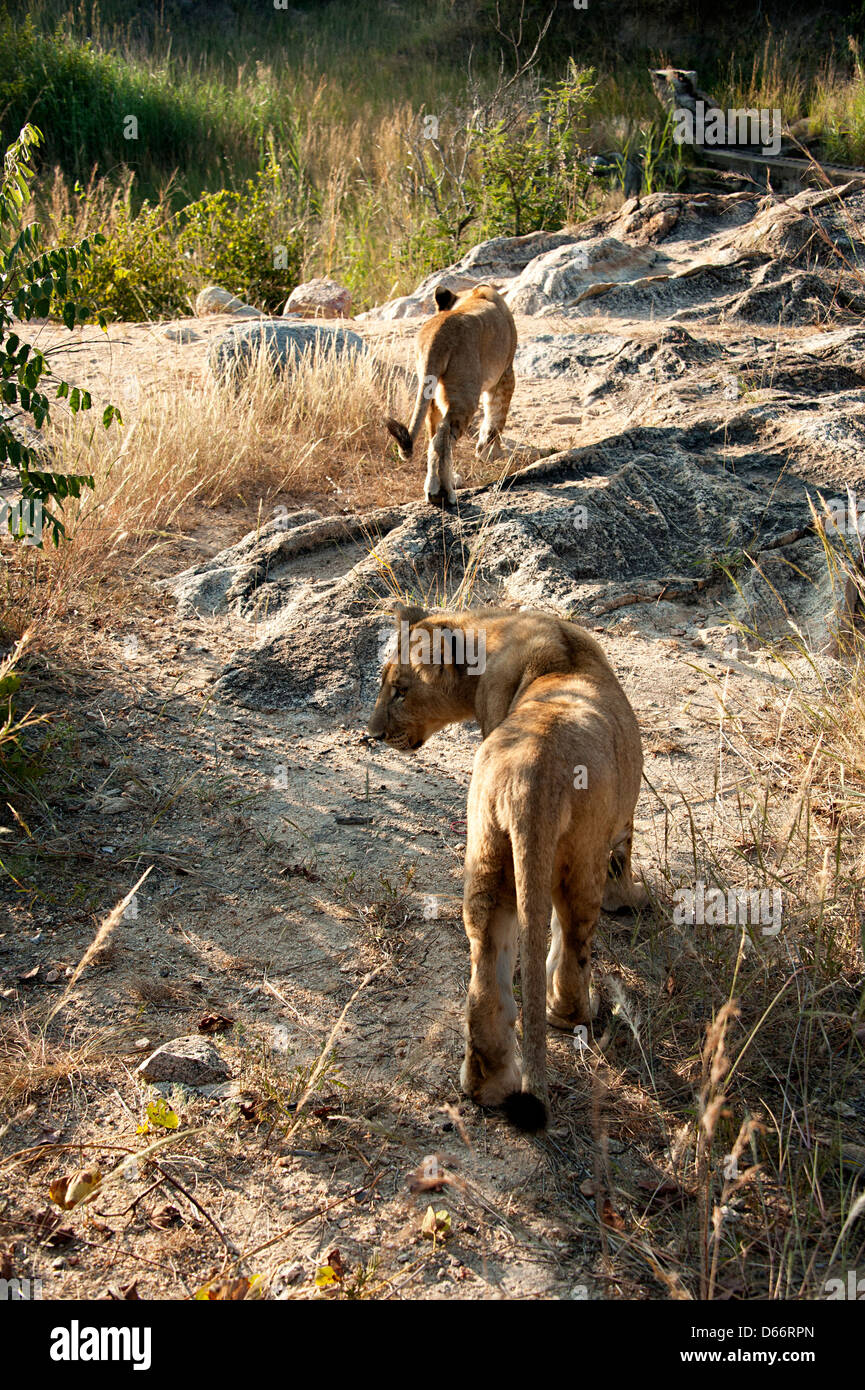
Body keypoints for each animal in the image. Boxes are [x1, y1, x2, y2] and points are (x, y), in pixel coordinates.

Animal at [369, 608, 648, 1128]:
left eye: (399, 689)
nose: (372, 733)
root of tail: (530, 777)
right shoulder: (618, 827)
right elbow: (623, 859)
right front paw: (631, 901)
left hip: (487, 856)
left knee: (487, 969)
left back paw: (486, 1086)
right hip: (580, 857)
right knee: (574, 940)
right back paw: (574, 1012)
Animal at [389, 282, 517, 505]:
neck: (470, 296)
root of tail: (438, 333)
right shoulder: (505, 374)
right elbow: (496, 418)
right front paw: (489, 453)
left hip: (431, 390)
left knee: (435, 437)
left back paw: (441, 485)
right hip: (465, 393)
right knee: (442, 438)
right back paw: (441, 494)